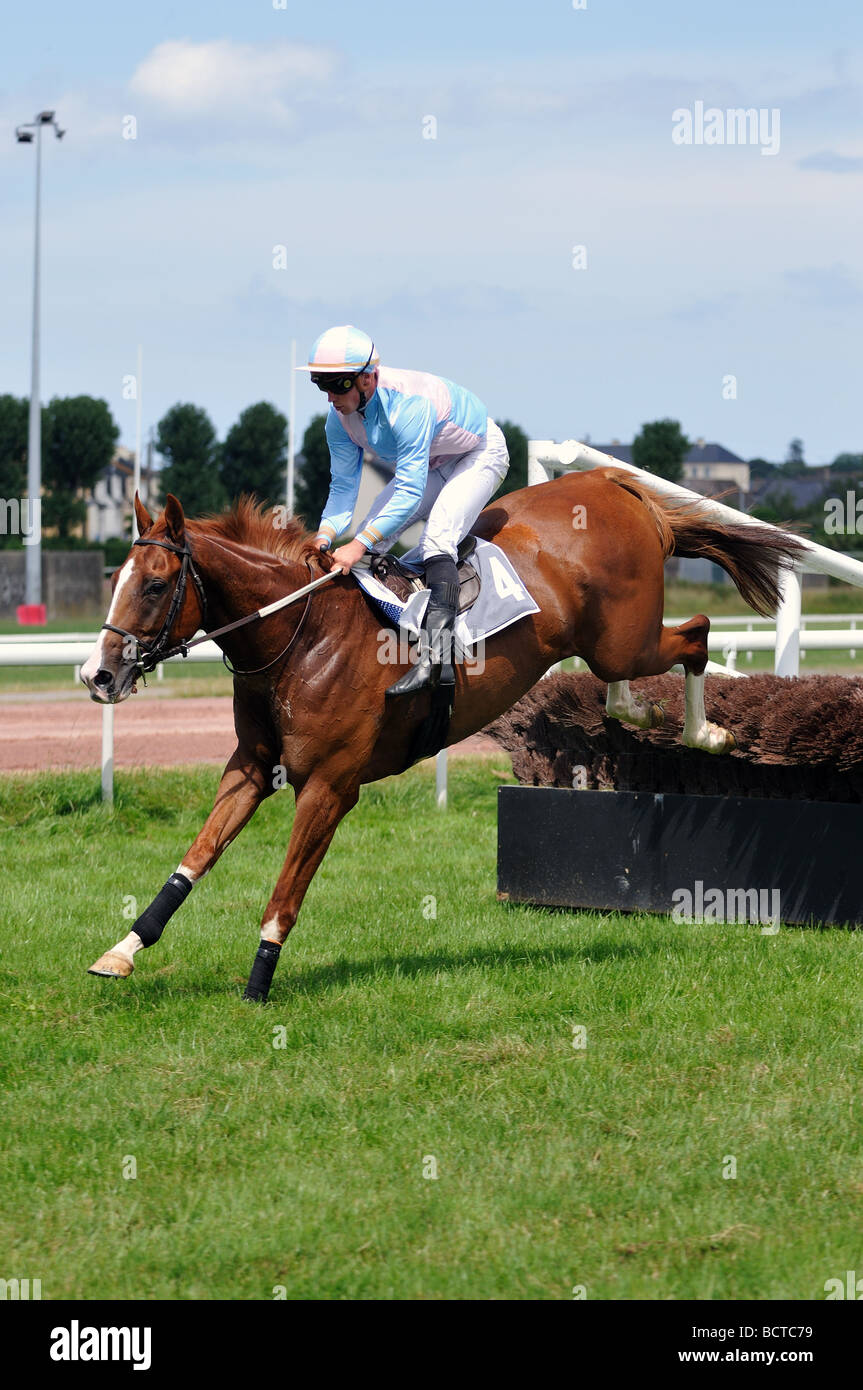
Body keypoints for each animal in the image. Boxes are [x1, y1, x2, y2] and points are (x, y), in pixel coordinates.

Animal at [80, 470, 803, 1002]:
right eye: (113, 581)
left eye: (154, 585)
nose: (97, 674)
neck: (300, 637)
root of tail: (610, 482)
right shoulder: (253, 768)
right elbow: (197, 855)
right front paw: (123, 948)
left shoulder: (330, 786)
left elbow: (287, 888)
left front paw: (259, 982)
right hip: (605, 642)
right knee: (635, 670)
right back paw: (639, 713)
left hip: (626, 636)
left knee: (697, 635)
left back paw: (706, 733)